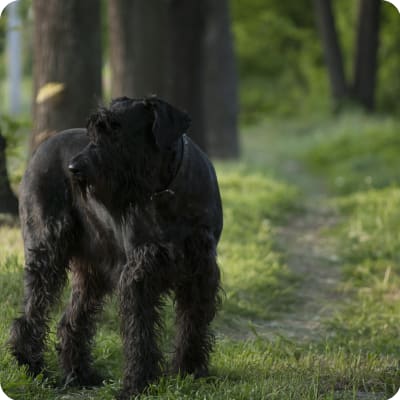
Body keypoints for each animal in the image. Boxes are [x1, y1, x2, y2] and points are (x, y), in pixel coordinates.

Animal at [9, 97, 223, 400]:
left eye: (117, 129)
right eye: (94, 131)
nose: (74, 168)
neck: (165, 191)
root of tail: (42, 147)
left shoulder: (200, 271)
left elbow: (193, 323)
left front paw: (190, 373)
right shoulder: (139, 273)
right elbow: (139, 333)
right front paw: (138, 384)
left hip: (92, 272)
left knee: (71, 320)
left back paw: (79, 375)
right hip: (46, 251)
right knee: (32, 313)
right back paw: (31, 366)